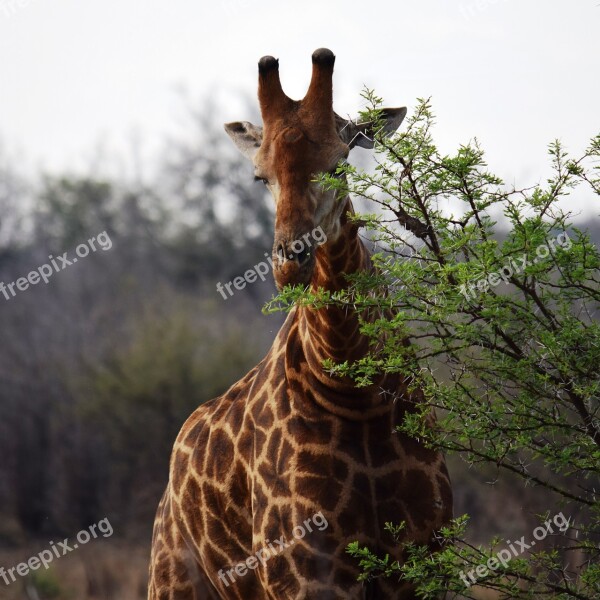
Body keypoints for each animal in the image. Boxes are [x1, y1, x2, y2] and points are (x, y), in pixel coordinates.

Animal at [148, 48, 452, 600]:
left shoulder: (425, 564)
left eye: (339, 163)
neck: (355, 396)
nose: (291, 262)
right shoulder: (305, 575)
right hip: (173, 582)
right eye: (260, 177)